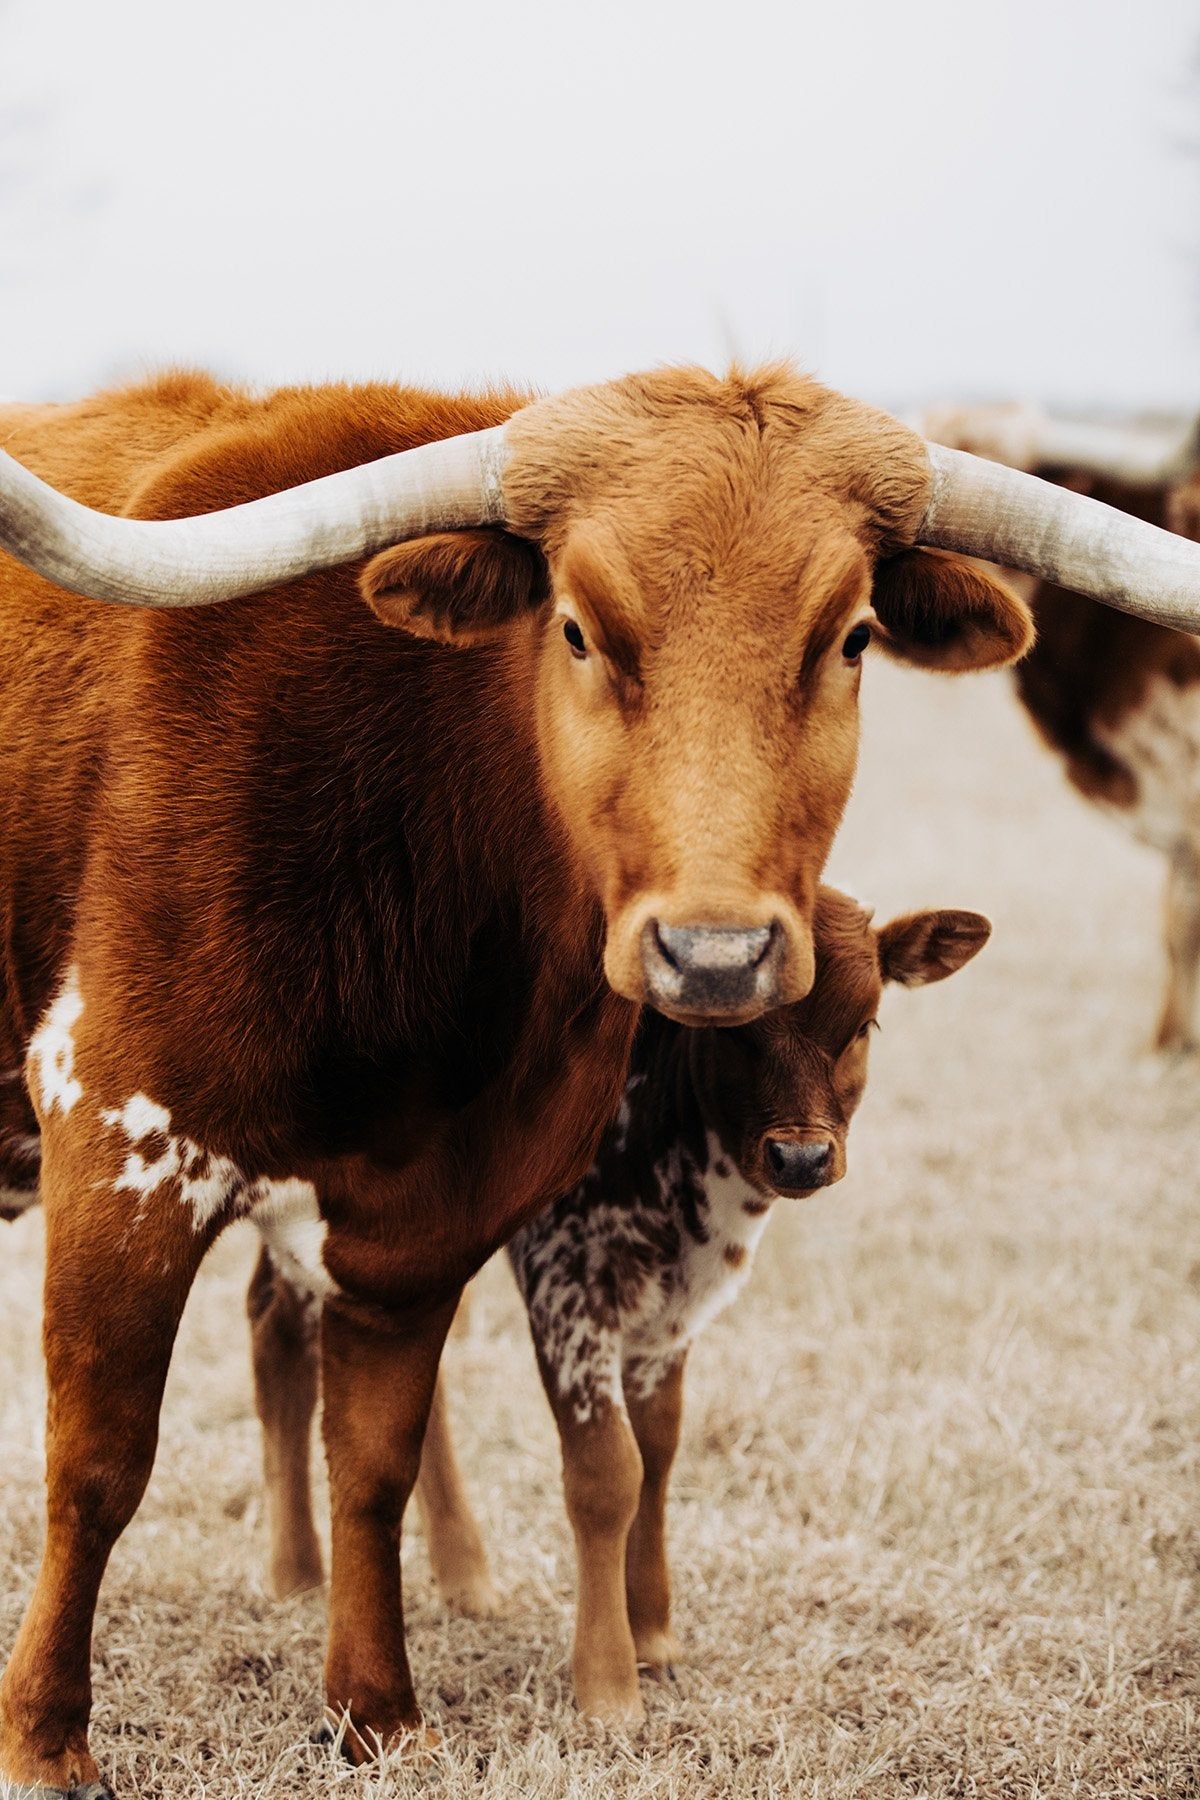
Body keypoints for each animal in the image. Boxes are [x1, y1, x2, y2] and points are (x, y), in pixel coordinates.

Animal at [248, 886, 989, 1726]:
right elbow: (607, 1474)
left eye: (864, 1023)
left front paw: (653, 1631)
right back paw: (297, 1572)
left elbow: (658, 1454)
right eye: (734, 1030)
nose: (800, 1157)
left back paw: (464, 1573)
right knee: (277, 1333)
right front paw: (606, 1684)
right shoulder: (567, 1288)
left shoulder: (670, 1319)